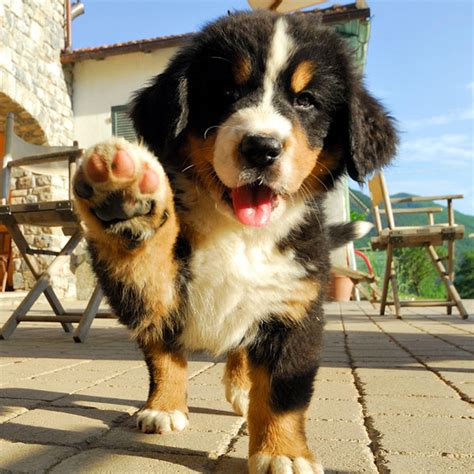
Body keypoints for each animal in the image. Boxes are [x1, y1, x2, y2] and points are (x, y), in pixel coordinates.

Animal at [72, 11, 396, 474]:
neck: (239, 233)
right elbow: (160, 338)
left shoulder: (294, 304)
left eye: (306, 101)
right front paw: (123, 201)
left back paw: (244, 390)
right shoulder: (159, 293)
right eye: (226, 92)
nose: (262, 148)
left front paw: (283, 451)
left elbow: (283, 391)